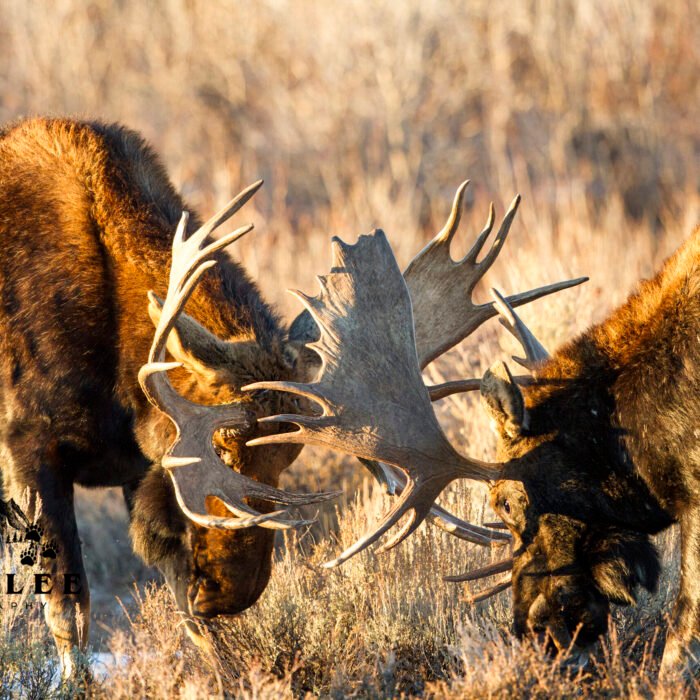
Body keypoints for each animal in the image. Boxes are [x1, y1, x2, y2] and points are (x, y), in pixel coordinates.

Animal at [0, 117, 576, 679]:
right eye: (222, 443)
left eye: (289, 455)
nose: (231, 594)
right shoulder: (30, 449)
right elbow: (68, 609)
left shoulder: (143, 468)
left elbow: (184, 609)